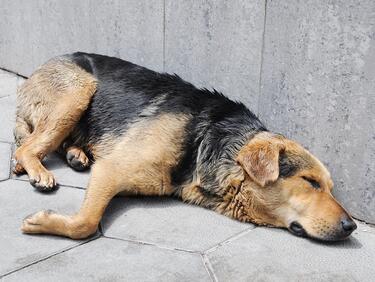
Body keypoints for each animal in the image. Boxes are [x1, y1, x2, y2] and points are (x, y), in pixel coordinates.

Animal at [13, 51, 356, 241]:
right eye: (310, 182)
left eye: (330, 188)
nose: (351, 226)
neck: (208, 142)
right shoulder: (111, 169)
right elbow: (85, 222)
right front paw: (43, 222)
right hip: (79, 91)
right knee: (26, 146)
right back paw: (37, 169)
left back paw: (76, 154)